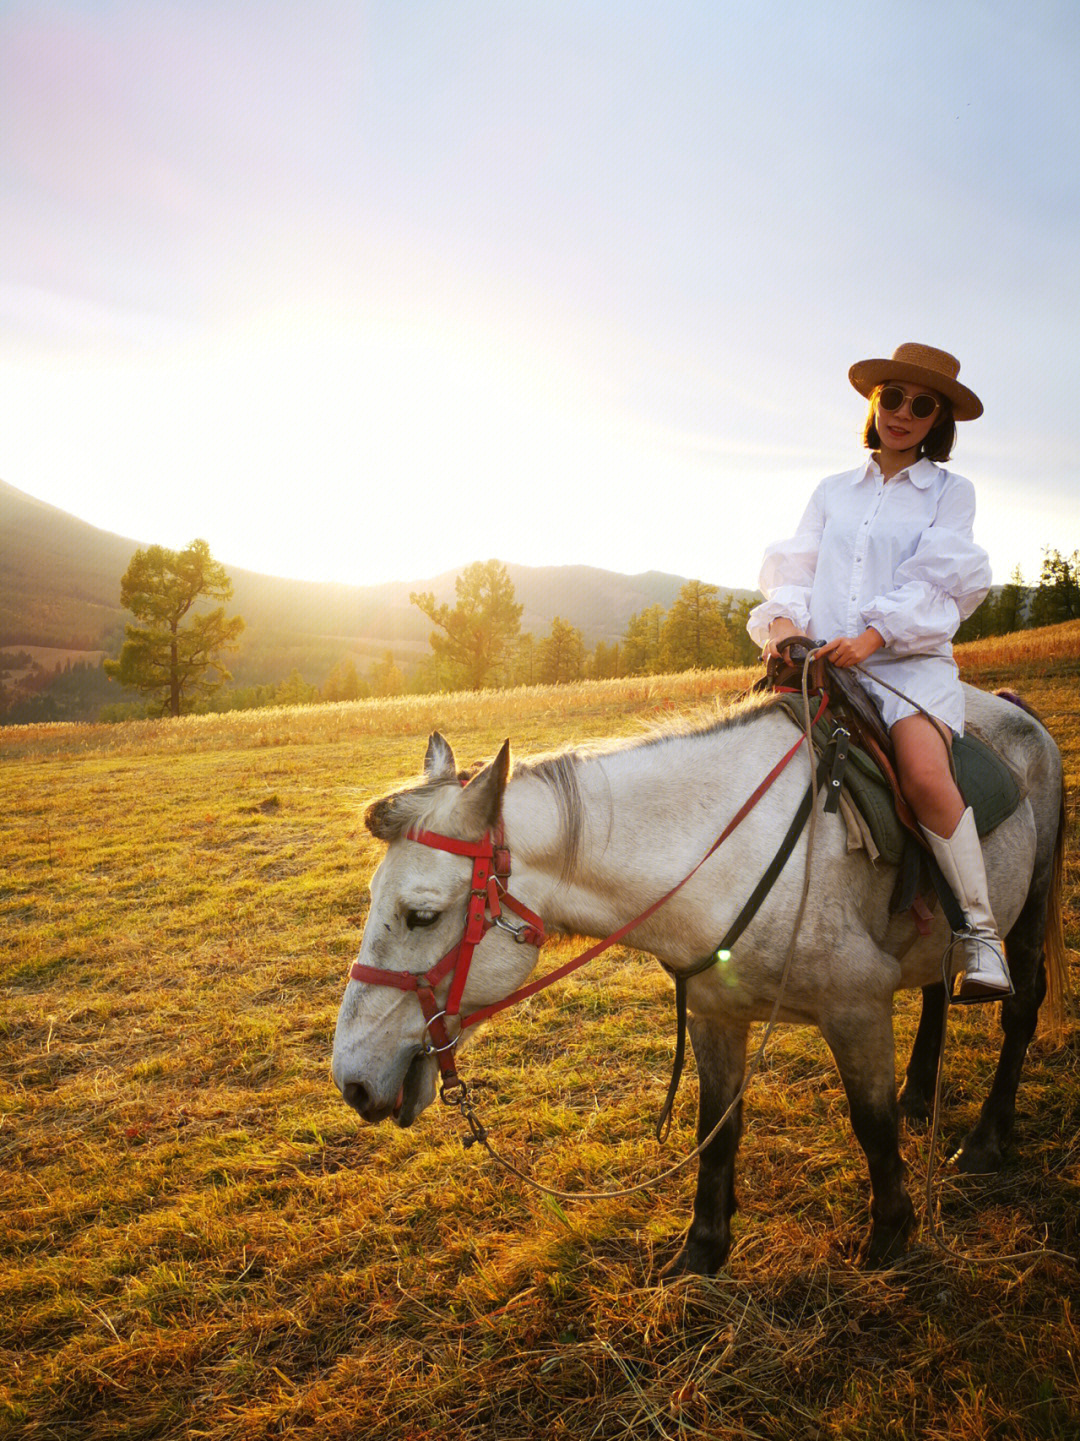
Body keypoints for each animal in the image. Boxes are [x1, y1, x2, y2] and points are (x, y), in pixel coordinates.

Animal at [328, 685, 1061, 1273]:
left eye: (422, 915)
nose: (352, 1081)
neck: (726, 856)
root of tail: (1017, 711)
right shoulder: (715, 1014)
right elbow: (717, 1129)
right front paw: (703, 1250)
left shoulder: (856, 1009)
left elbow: (871, 1125)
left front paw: (890, 1235)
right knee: (937, 991)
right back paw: (920, 1092)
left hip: (1028, 907)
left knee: (1020, 1012)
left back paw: (988, 1138)